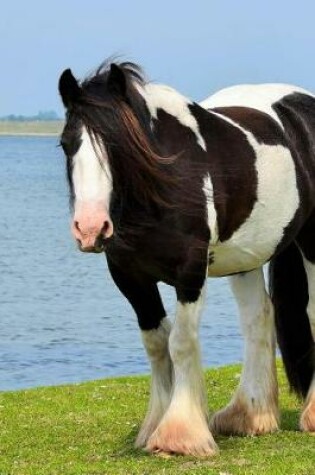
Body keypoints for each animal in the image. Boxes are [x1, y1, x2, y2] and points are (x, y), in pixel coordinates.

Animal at [58, 60, 315, 458]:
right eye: (66, 144)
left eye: (117, 146)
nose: (90, 228)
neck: (165, 182)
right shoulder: (130, 277)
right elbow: (156, 344)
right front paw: (154, 427)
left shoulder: (190, 273)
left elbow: (179, 343)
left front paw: (180, 435)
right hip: (247, 258)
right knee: (258, 318)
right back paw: (248, 416)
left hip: (313, 240)